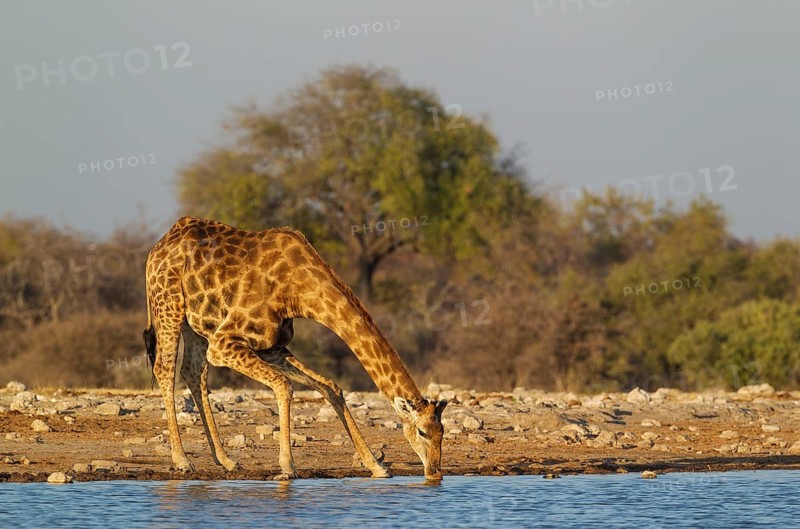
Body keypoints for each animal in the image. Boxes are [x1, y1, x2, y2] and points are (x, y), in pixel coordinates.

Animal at [143, 216, 447, 480]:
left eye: (442, 431)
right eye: (422, 432)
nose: (434, 472)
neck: (299, 293)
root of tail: (157, 247)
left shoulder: (273, 346)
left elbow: (330, 387)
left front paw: (377, 466)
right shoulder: (224, 343)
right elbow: (284, 384)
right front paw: (288, 467)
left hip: (196, 324)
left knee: (193, 372)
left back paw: (226, 460)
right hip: (169, 305)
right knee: (165, 369)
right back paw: (182, 460)